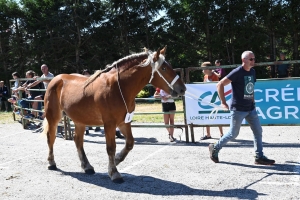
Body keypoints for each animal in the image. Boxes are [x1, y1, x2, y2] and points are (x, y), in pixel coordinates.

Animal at [42, 46, 185, 183]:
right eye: (164, 68)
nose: (182, 88)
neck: (118, 88)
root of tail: (55, 79)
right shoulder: (109, 124)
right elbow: (111, 147)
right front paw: (114, 173)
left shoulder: (124, 122)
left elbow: (130, 143)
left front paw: (116, 160)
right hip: (53, 117)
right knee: (51, 137)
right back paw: (51, 163)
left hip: (80, 120)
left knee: (78, 141)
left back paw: (87, 166)